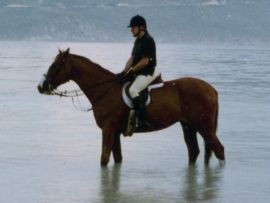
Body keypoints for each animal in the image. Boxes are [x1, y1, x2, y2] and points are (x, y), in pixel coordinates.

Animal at [37, 48, 225, 167]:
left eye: (55, 65)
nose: (41, 86)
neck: (105, 89)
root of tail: (211, 89)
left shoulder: (108, 129)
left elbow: (104, 159)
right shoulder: (114, 132)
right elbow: (117, 159)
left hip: (204, 127)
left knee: (219, 150)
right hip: (188, 126)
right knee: (194, 151)